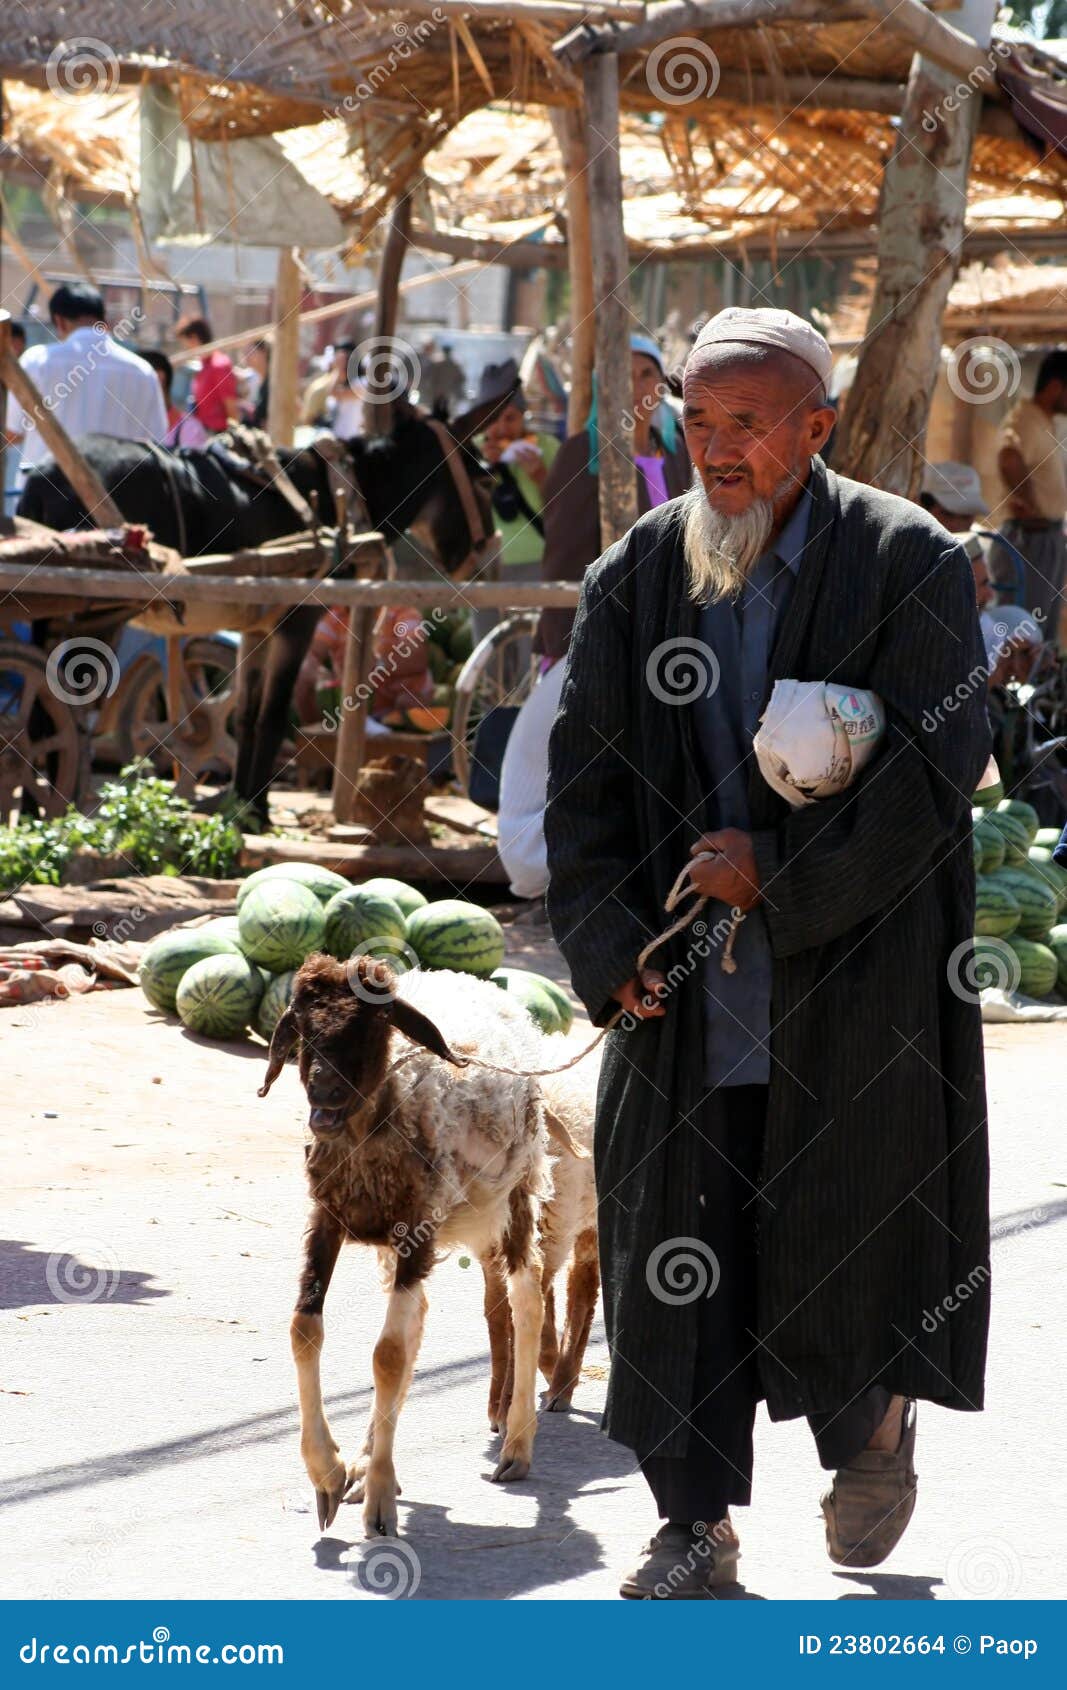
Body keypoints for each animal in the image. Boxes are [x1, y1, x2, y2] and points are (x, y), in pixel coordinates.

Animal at [262, 959, 588, 1541]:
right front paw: (330, 1475)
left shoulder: (417, 1228)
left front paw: (378, 1504)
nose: (323, 1100)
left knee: (526, 1301)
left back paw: (517, 1447)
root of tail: (480, 984)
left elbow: (387, 1356)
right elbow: (305, 1330)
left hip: (518, 1191)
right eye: (301, 1028)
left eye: (368, 1029)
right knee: (419, 1321)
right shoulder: (328, 1220)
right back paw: (366, 1460)